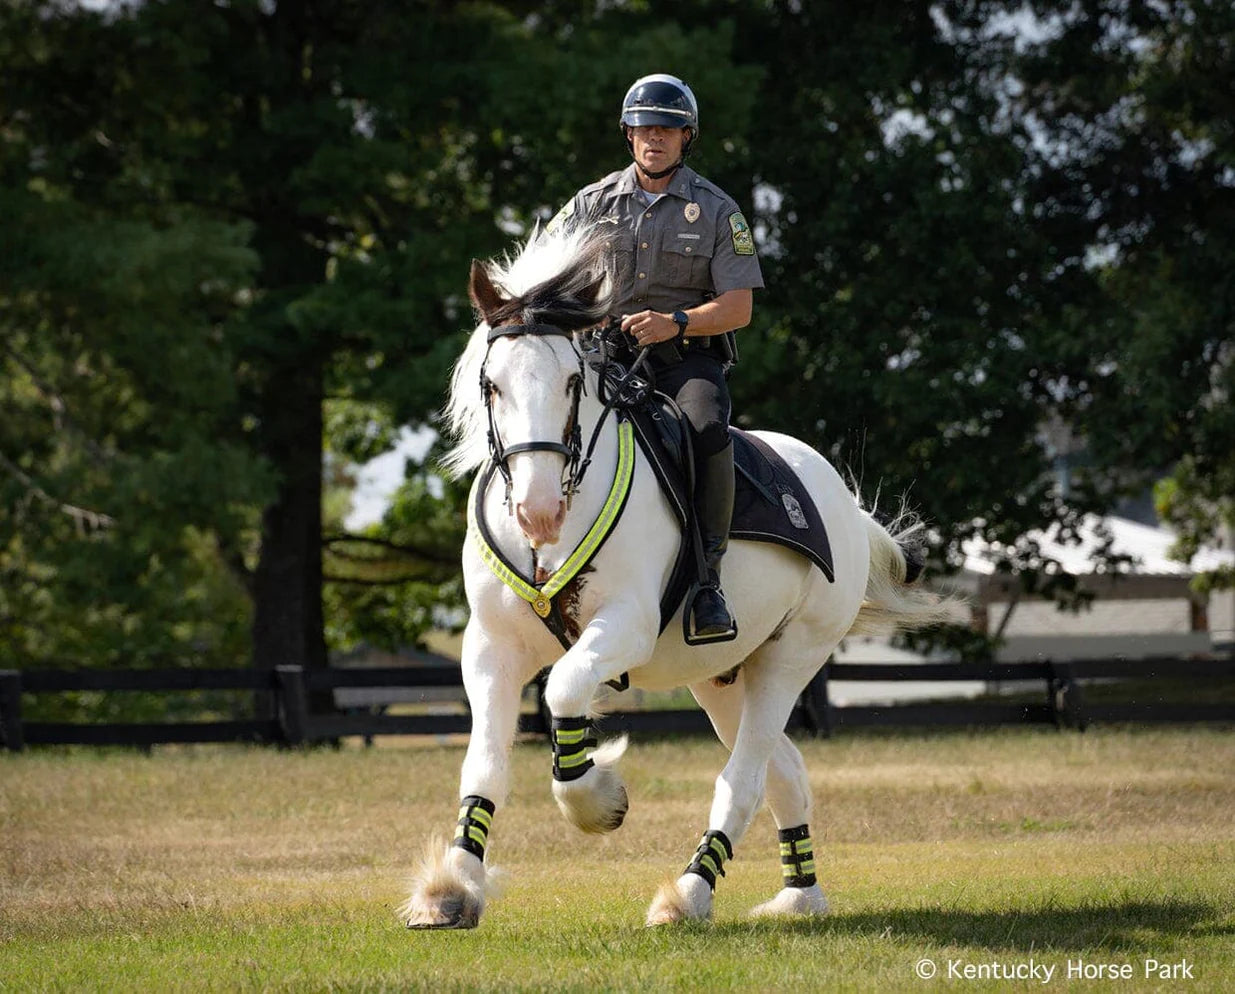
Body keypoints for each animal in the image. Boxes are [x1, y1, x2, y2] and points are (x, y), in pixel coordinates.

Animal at [400, 224, 948, 928]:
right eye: (491, 384)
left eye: (572, 380)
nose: (539, 510)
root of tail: (843, 505)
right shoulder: (491, 645)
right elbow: (486, 766)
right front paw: (451, 890)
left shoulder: (625, 627)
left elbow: (565, 692)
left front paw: (599, 799)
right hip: (722, 678)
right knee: (786, 774)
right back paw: (800, 897)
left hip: (791, 658)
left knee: (744, 780)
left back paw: (690, 893)